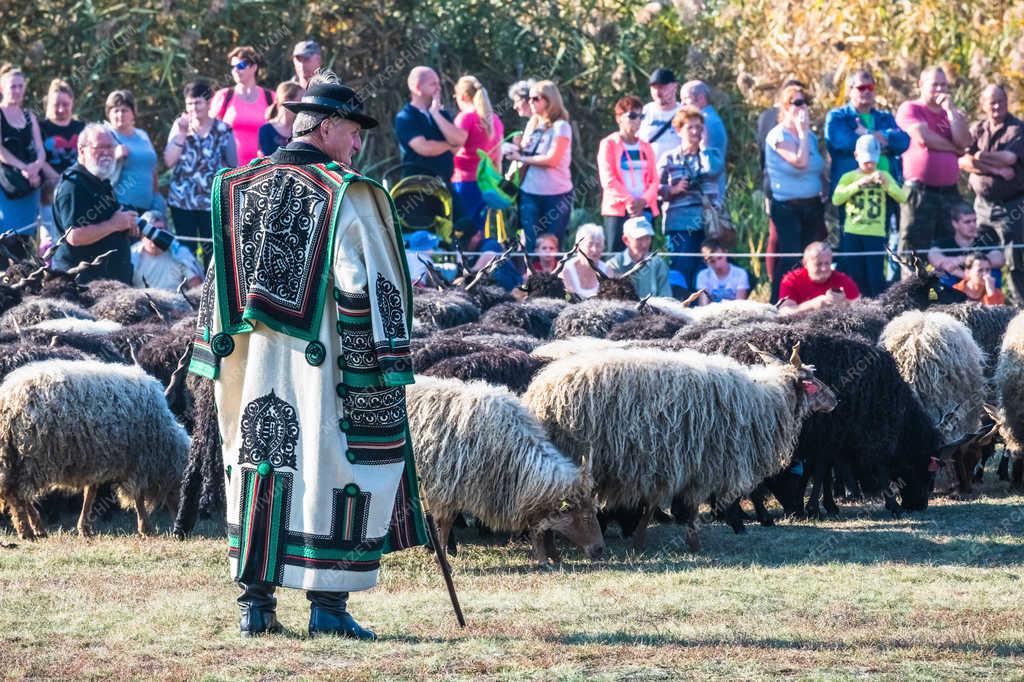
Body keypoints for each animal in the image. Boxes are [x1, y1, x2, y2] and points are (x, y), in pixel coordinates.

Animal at [403, 372, 602, 561]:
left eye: (595, 511)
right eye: (585, 516)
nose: (600, 549)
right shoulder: (446, 488)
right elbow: (444, 524)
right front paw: (442, 558)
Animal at [524, 342, 835, 548]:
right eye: (813, 383)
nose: (836, 399)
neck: (765, 402)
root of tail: (539, 393)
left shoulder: (675, 462)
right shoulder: (708, 461)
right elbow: (701, 503)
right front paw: (709, 533)